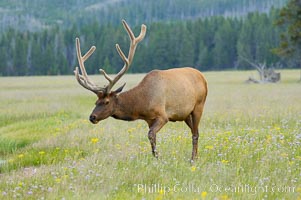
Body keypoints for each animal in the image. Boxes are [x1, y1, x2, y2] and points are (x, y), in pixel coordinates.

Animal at [74, 19, 206, 161]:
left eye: (107, 102)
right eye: (96, 102)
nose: (92, 117)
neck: (142, 104)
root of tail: (202, 77)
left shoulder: (163, 115)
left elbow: (151, 135)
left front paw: (158, 158)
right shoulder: (149, 120)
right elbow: (152, 139)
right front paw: (155, 157)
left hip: (199, 106)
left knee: (195, 133)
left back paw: (193, 159)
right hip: (186, 114)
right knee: (195, 131)